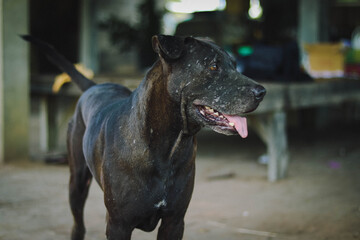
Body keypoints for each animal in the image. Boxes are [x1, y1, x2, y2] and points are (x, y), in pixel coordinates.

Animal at [21, 34, 264, 239]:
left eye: (235, 65)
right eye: (213, 66)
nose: (262, 92)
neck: (168, 147)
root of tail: (94, 86)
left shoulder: (174, 221)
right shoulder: (118, 224)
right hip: (77, 182)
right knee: (78, 225)